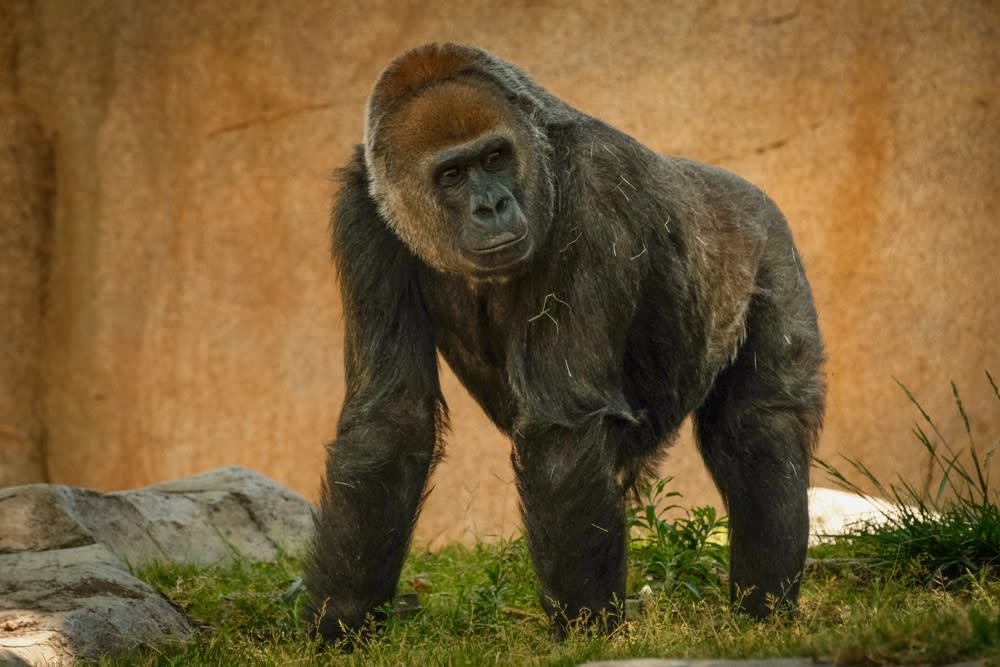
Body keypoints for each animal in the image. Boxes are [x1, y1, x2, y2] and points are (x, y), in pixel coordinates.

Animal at [305, 43, 825, 643]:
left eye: (496, 157)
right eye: (452, 174)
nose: (492, 206)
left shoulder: (595, 187)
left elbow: (564, 424)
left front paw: (584, 628)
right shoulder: (362, 212)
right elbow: (390, 420)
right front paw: (339, 619)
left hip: (771, 244)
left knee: (759, 430)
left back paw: (764, 609)